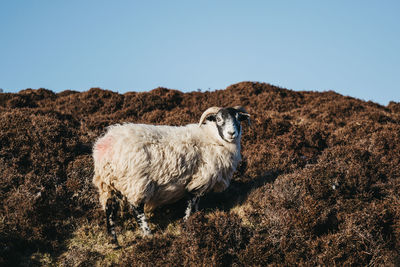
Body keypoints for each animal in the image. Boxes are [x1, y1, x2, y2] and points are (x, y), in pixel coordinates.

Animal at [93, 105, 250, 246]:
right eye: (218, 119)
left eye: (238, 118)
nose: (232, 133)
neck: (213, 138)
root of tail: (106, 145)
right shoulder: (198, 180)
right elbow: (191, 205)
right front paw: (187, 225)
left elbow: (196, 205)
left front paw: (198, 220)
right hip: (135, 182)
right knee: (136, 209)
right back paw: (148, 234)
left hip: (107, 184)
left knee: (109, 209)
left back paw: (114, 241)